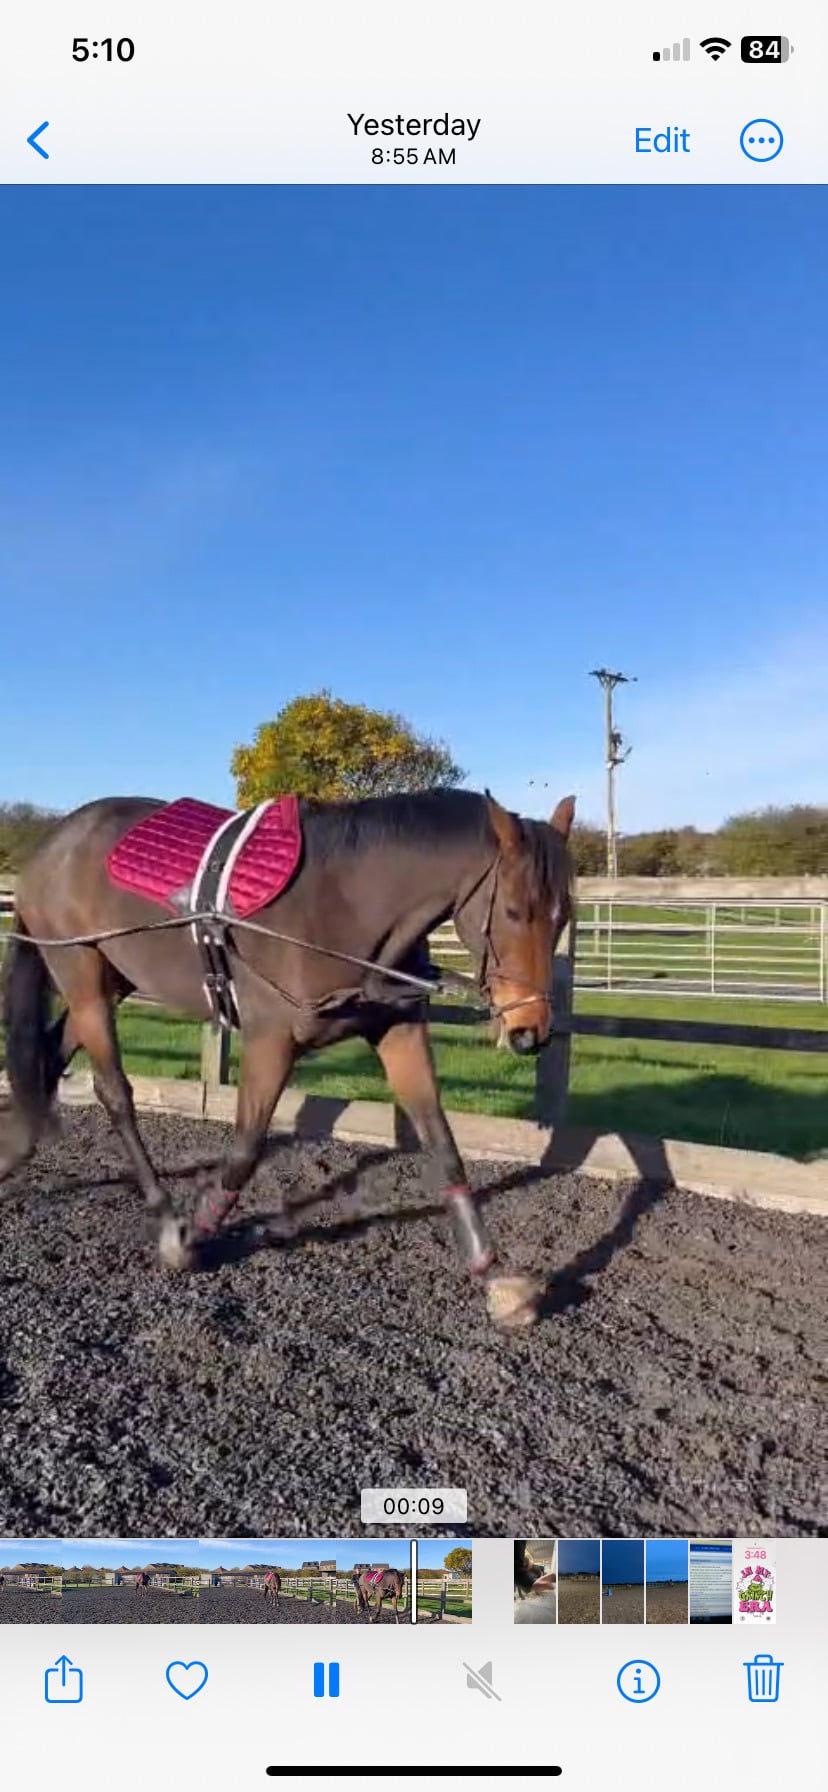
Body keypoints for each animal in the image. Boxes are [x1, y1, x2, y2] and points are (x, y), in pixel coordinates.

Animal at [0, 786, 575, 1330]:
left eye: (563, 915)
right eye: (513, 912)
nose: (529, 1031)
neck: (345, 902)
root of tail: (55, 842)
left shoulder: (399, 1032)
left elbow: (442, 1142)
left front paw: (491, 1273)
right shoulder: (269, 1041)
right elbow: (246, 1150)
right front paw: (189, 1236)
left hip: (111, 980)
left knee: (48, 1057)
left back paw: (14, 1149)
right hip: (83, 980)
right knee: (114, 1092)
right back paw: (161, 1211)